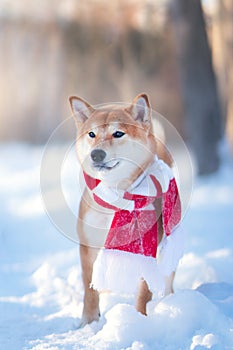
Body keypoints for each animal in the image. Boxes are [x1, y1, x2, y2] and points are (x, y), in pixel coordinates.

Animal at [69, 92, 184, 326]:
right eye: (92, 134)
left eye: (118, 133)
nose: (96, 154)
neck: (116, 196)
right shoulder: (88, 245)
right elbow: (89, 289)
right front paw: (89, 322)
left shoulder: (146, 248)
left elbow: (143, 292)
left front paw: (139, 320)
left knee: (168, 278)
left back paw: (169, 302)